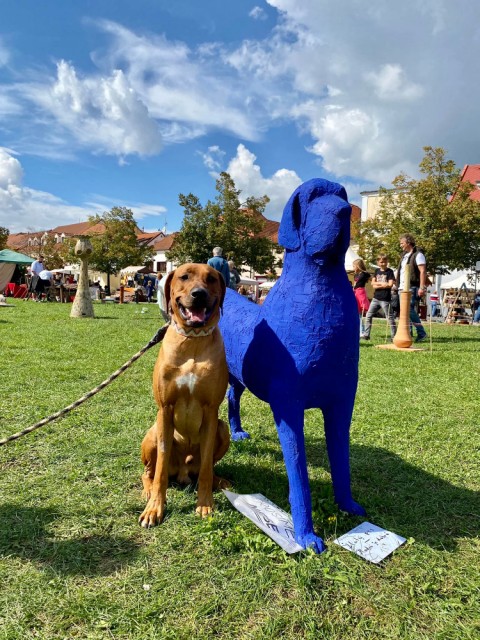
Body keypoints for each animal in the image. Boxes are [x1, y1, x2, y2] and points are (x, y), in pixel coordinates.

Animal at [139, 262, 231, 528]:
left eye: (211, 279)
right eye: (184, 276)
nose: (199, 294)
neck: (192, 341)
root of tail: (182, 472)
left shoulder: (211, 412)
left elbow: (206, 471)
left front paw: (205, 504)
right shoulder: (165, 409)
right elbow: (159, 473)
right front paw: (155, 508)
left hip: (223, 428)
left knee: (206, 468)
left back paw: (221, 481)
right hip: (152, 432)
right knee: (148, 472)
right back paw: (147, 491)